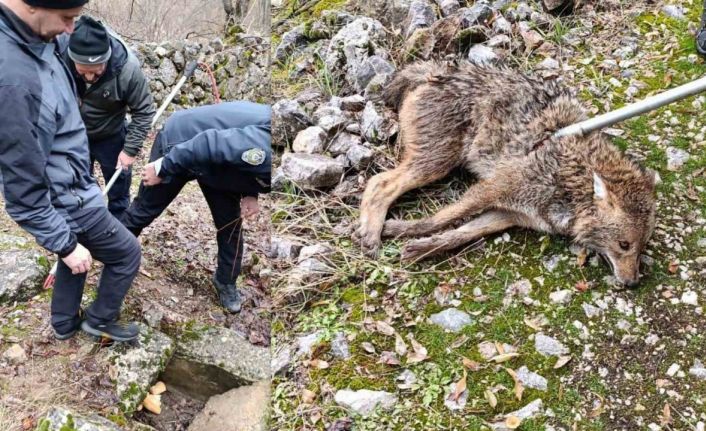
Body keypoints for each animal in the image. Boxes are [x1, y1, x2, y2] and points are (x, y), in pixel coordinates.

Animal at [354, 60, 656, 286]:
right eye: (624, 245)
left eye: (641, 248)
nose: (633, 283)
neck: (570, 179)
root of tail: (436, 73)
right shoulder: (492, 188)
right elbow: (441, 218)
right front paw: (404, 232)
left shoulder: (508, 215)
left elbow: (460, 234)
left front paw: (420, 246)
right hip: (435, 164)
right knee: (379, 183)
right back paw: (371, 235)